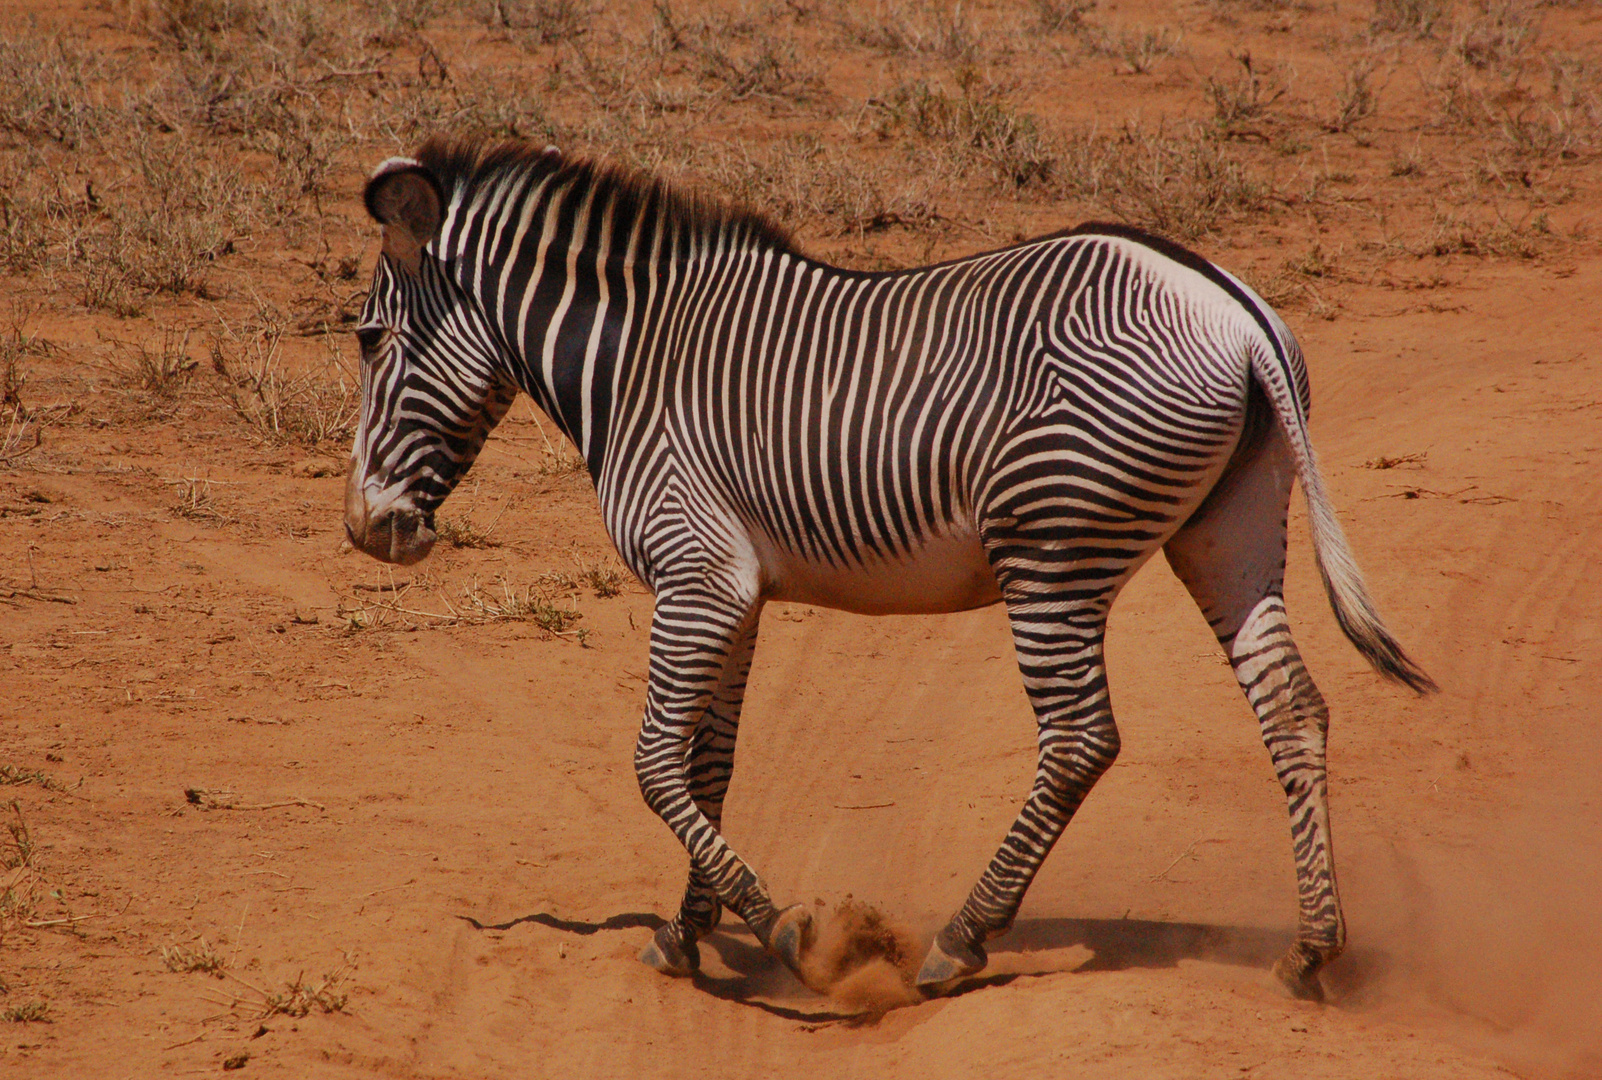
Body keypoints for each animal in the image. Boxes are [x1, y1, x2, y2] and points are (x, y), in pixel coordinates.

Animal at [344, 137, 1435, 999]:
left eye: (365, 339)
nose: (365, 531)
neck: (635, 361)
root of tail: (1230, 304)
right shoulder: (736, 590)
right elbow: (708, 764)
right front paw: (687, 933)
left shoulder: (694, 573)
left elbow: (654, 764)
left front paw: (784, 932)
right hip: (1227, 528)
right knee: (1292, 709)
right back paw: (1311, 950)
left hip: (1051, 544)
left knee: (1081, 740)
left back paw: (960, 941)